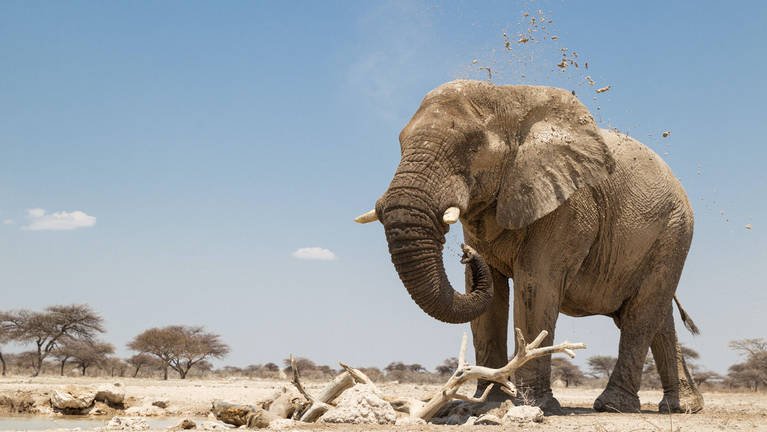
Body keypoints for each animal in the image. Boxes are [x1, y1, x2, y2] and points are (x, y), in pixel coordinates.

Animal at [356, 80, 703, 414]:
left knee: (639, 315)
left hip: (674, 231)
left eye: (472, 145)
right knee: (658, 318)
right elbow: (489, 297)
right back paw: (682, 407)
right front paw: (484, 402)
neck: (507, 99)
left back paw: (614, 406)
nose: (466, 254)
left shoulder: (567, 206)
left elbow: (536, 285)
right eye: (400, 142)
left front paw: (531, 405)